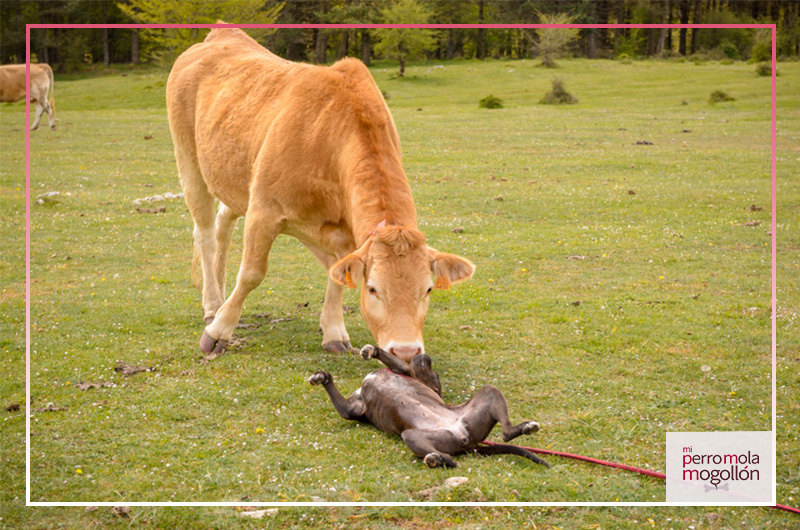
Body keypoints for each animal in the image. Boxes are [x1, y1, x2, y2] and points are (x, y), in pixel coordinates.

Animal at [165, 27, 472, 358]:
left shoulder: (342, 230)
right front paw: (218, 332)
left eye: (428, 289)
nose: (405, 351)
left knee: (223, 225)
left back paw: (220, 296)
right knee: (205, 234)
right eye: (373, 288)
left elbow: (337, 273)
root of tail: (223, 31)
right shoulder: (264, 210)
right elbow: (251, 272)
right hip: (189, 162)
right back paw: (212, 306)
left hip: (232, 174)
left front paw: (334, 331)